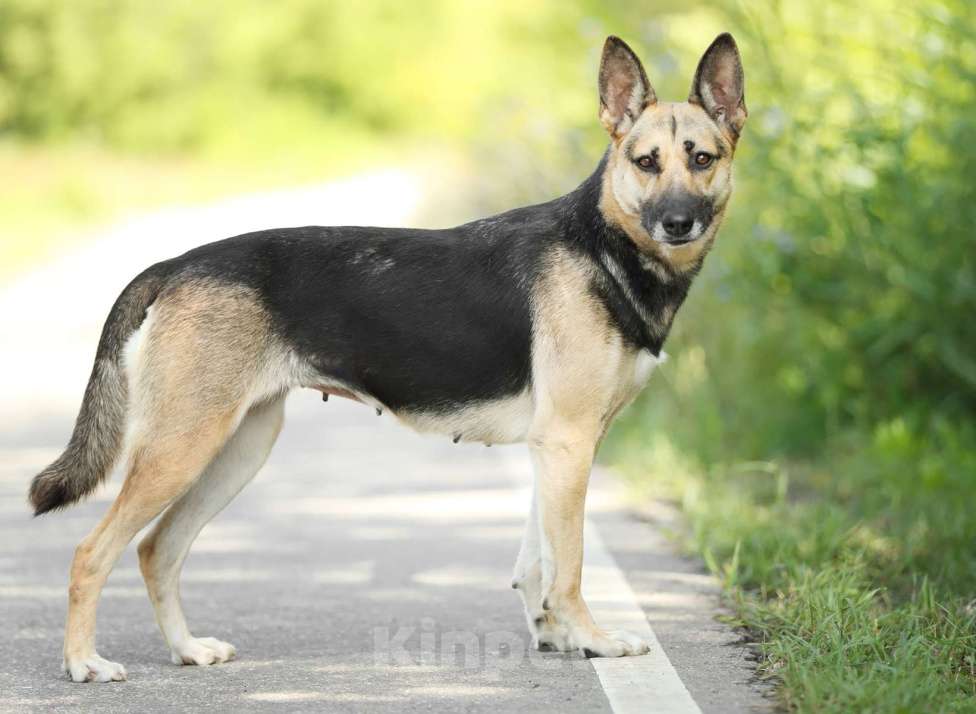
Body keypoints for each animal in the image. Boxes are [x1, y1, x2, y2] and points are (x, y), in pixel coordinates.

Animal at [30, 32, 748, 680]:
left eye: (702, 158)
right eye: (646, 162)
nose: (677, 223)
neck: (605, 244)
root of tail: (176, 264)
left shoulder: (557, 450)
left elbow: (536, 561)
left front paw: (557, 635)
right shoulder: (569, 443)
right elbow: (566, 565)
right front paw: (593, 641)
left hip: (237, 448)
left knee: (158, 549)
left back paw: (186, 650)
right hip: (184, 447)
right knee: (92, 552)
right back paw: (84, 663)